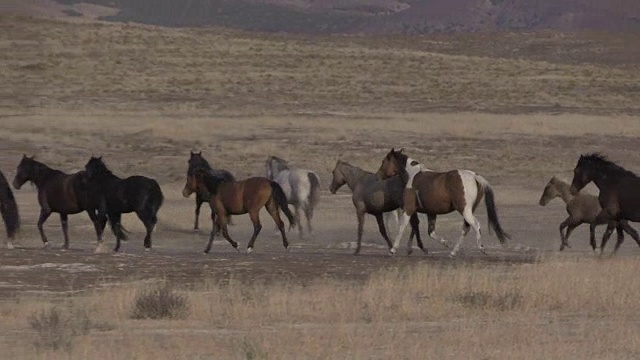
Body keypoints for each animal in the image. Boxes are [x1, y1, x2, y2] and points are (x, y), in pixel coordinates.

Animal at [376, 148, 510, 258]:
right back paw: (453, 252)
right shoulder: (431, 212)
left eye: (383, 161)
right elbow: (430, 232)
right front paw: (445, 243)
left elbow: (402, 226)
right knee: (466, 228)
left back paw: (481, 248)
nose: (378, 175)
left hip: (465, 210)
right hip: (468, 211)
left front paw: (393, 249)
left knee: (476, 225)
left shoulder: (409, 208)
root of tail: (474, 176)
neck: (412, 175)